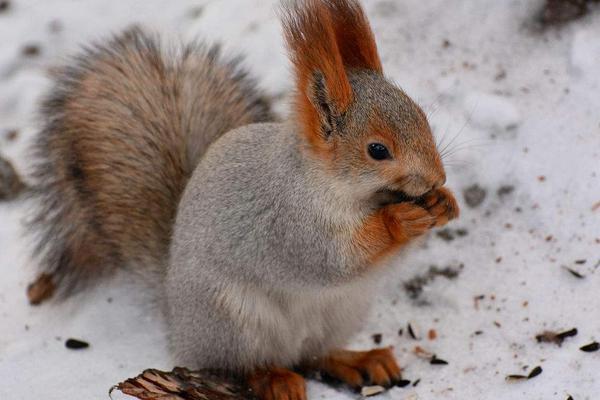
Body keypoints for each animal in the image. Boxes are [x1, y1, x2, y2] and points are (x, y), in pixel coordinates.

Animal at [24, 1, 460, 398]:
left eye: (421, 116)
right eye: (377, 150)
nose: (437, 177)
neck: (346, 189)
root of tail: (175, 318)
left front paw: (443, 203)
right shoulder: (289, 222)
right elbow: (334, 260)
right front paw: (398, 220)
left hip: (341, 312)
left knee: (314, 355)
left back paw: (359, 361)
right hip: (234, 321)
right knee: (242, 366)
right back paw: (274, 379)